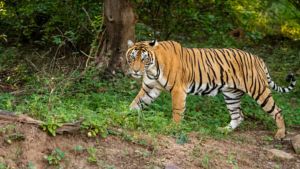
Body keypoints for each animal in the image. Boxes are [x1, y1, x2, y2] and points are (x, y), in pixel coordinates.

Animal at [125, 40, 296, 140]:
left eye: (144, 59)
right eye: (133, 57)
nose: (135, 71)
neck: (151, 70)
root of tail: (258, 58)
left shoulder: (178, 90)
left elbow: (177, 111)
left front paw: (172, 128)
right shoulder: (150, 88)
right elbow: (135, 103)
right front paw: (123, 115)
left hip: (258, 90)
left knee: (277, 110)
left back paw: (280, 134)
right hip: (231, 95)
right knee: (238, 115)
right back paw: (223, 130)